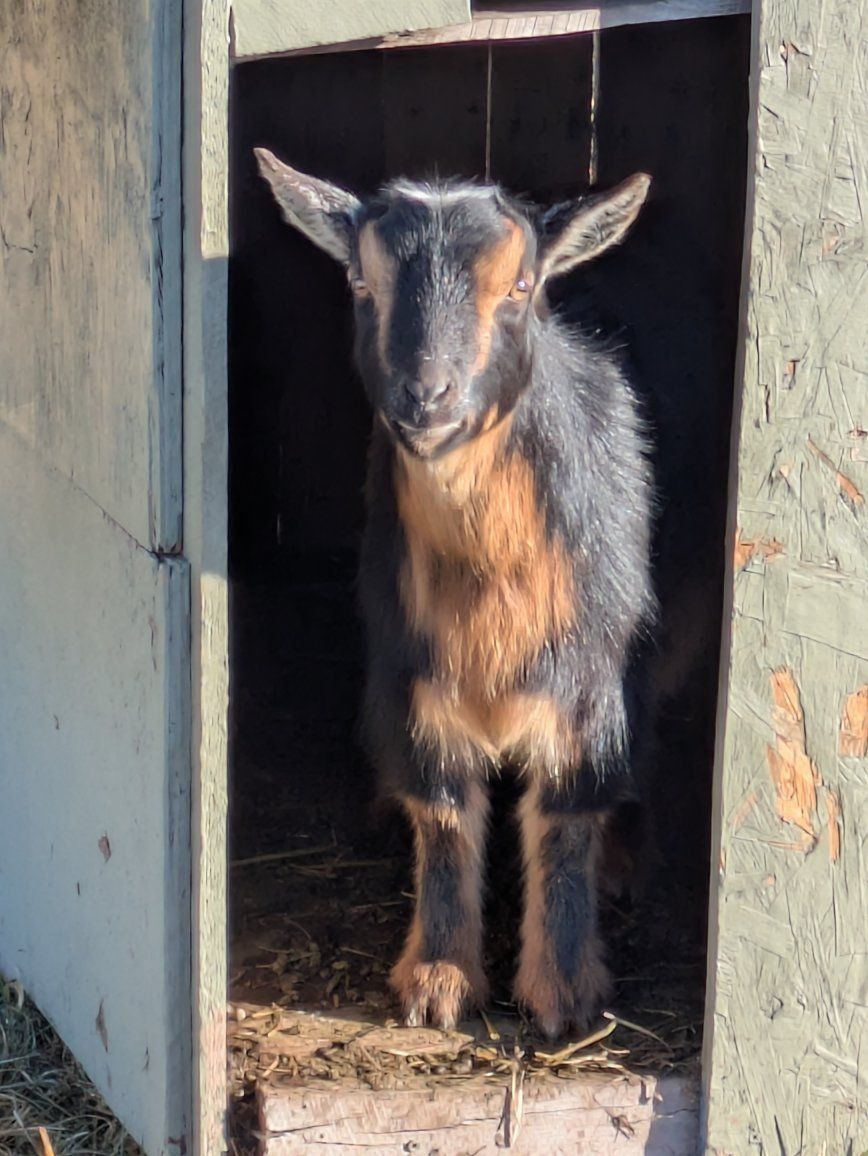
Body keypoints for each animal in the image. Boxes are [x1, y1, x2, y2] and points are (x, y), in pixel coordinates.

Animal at [256, 148, 654, 1039]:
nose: (425, 396)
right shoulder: (410, 673)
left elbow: (567, 816)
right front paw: (438, 982)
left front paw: (565, 994)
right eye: (361, 282)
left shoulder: (587, 682)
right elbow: (440, 812)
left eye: (520, 286)